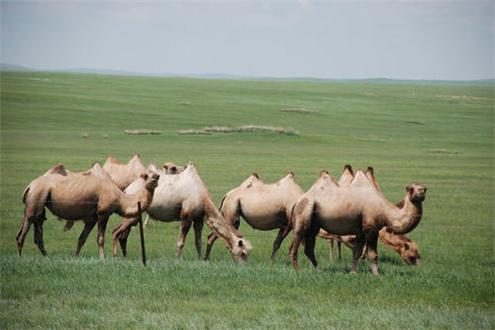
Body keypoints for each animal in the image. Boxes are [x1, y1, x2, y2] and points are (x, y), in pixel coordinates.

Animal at [17, 162, 159, 258]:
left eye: (156, 175)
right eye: (146, 176)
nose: (156, 177)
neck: (119, 198)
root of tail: (30, 185)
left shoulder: (92, 219)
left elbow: (82, 238)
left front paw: (75, 257)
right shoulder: (103, 213)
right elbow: (100, 238)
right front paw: (103, 259)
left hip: (39, 207)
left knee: (37, 234)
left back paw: (46, 257)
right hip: (36, 198)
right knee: (22, 233)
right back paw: (22, 257)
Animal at [112, 161, 252, 262]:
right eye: (243, 253)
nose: (244, 265)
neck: (203, 198)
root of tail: (127, 190)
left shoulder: (198, 218)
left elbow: (198, 241)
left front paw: (200, 260)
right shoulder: (186, 216)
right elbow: (181, 242)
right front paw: (177, 259)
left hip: (134, 215)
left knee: (124, 235)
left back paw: (125, 257)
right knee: (118, 232)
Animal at [290, 168, 426, 276]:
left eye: (424, 188)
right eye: (412, 189)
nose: (421, 192)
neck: (385, 210)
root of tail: (297, 201)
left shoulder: (360, 231)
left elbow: (357, 253)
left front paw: (353, 272)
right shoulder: (371, 227)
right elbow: (373, 254)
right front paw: (376, 274)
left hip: (314, 225)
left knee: (309, 249)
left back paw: (318, 270)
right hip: (304, 212)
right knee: (294, 246)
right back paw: (298, 271)